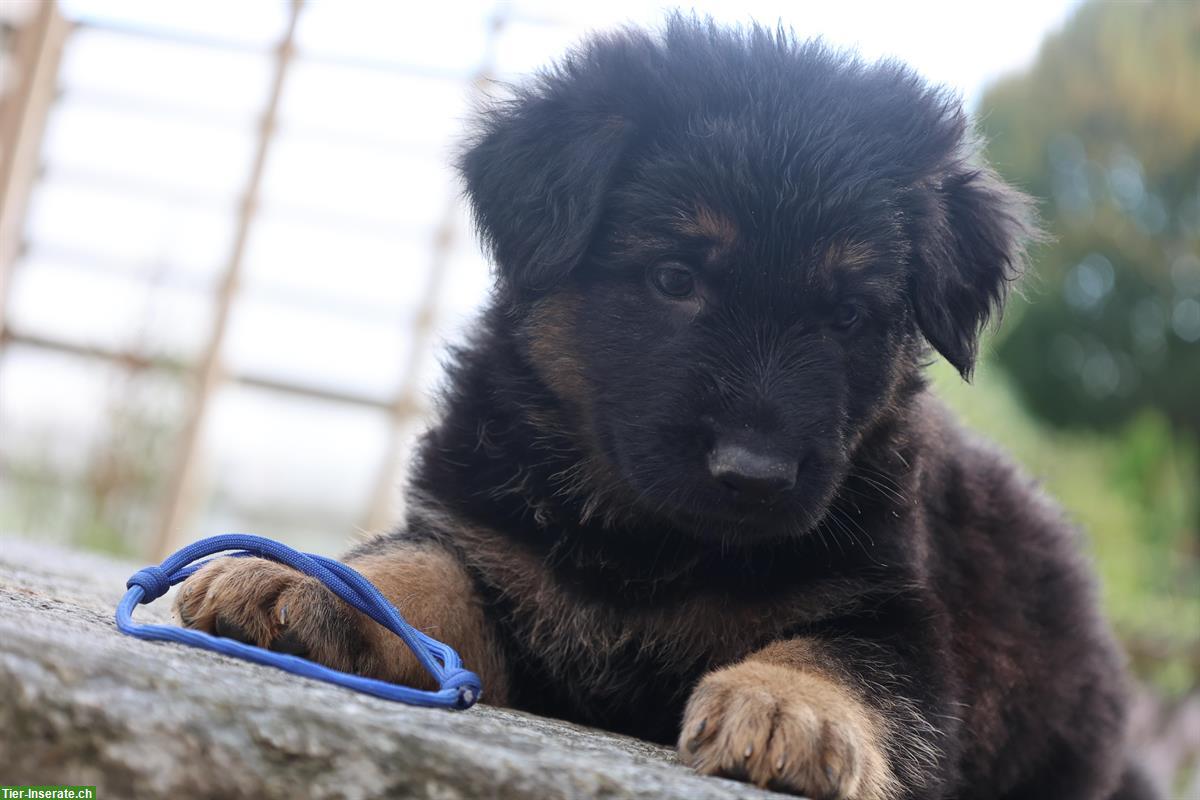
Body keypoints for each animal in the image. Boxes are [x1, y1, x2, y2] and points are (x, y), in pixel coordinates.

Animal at [175, 18, 1152, 800]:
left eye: (846, 317)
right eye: (675, 280)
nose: (754, 475)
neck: (649, 544)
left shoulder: (897, 614)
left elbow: (849, 656)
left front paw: (792, 708)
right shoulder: (490, 560)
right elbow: (417, 576)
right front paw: (301, 580)